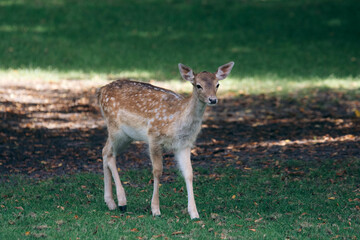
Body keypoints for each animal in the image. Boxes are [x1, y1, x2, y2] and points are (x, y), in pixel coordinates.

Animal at [97, 62, 235, 219]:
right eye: (198, 85)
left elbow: (189, 173)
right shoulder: (154, 137)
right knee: (109, 154)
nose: (213, 99)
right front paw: (155, 209)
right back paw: (122, 202)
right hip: (115, 128)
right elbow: (157, 171)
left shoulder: (184, 144)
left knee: (105, 151)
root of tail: (100, 91)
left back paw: (110, 202)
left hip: (126, 136)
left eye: (217, 84)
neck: (178, 121)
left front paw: (194, 213)